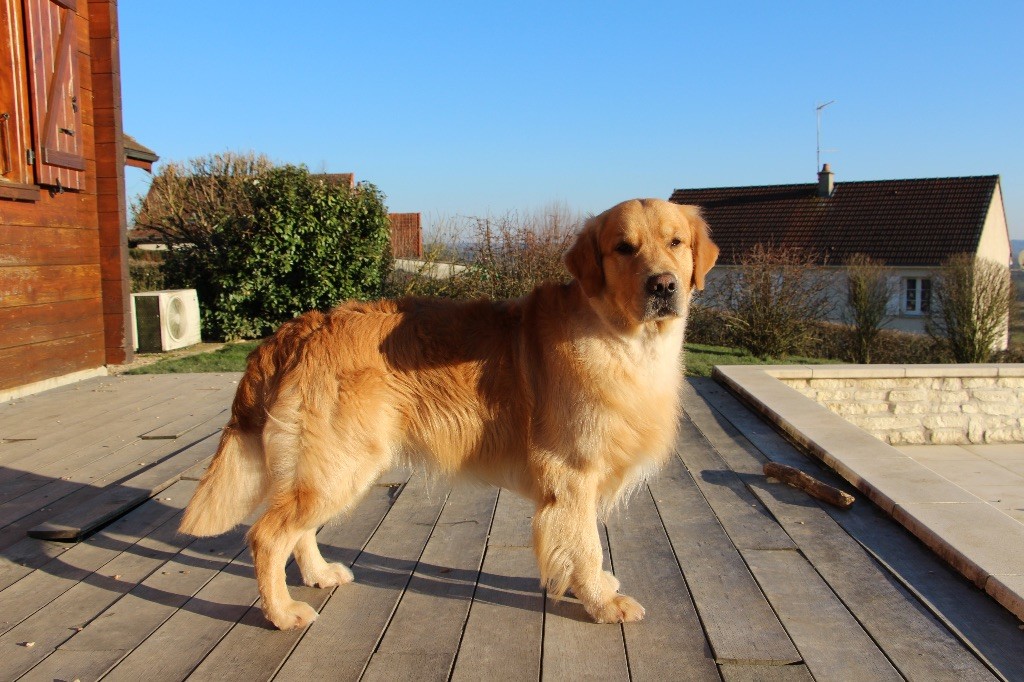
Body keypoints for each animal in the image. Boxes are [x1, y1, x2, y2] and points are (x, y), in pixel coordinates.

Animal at [179, 198, 718, 630]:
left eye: (676, 242)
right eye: (623, 248)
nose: (663, 285)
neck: (622, 338)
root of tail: (295, 329)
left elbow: (580, 549)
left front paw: (598, 590)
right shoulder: (572, 476)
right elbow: (585, 547)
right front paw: (602, 604)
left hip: (330, 467)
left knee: (299, 530)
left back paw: (318, 575)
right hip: (340, 465)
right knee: (268, 536)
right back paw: (282, 613)